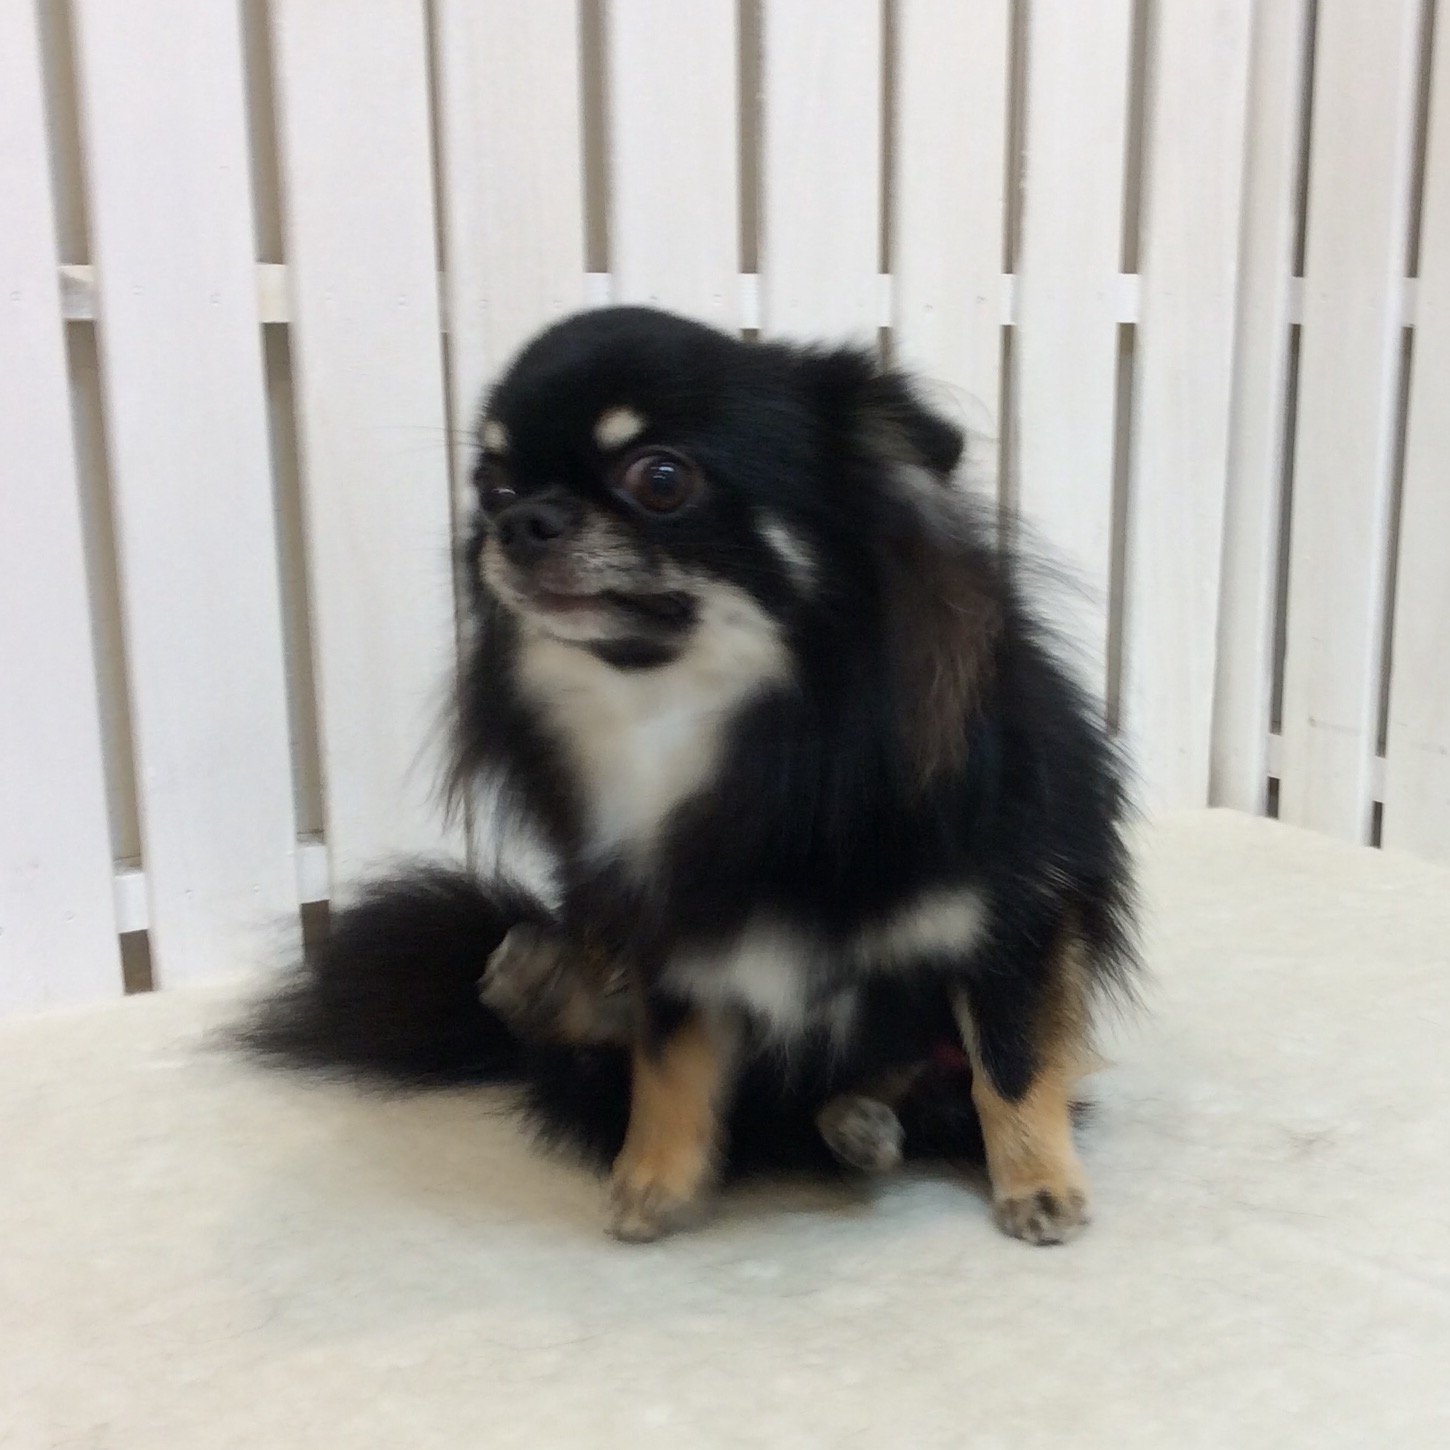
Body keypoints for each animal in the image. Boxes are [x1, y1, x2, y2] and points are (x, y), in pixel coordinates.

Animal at [244, 305, 1136, 1245]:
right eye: (491, 486)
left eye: (662, 478)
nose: (523, 521)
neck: (703, 723)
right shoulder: (668, 926)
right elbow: (669, 1059)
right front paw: (655, 1178)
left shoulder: (1014, 917)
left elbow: (1011, 1062)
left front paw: (1038, 1183)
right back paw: (544, 985)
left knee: (913, 1095)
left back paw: (859, 1122)